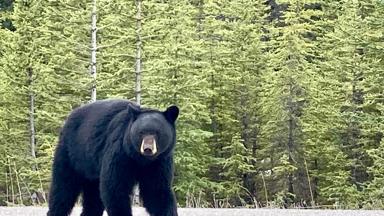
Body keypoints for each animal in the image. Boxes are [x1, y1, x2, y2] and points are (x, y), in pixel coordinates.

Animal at [47, 99, 179, 216]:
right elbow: (114, 188)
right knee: (63, 188)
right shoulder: (120, 153)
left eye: (157, 133)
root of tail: (70, 116)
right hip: (72, 153)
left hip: (91, 169)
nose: (147, 149)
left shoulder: (159, 161)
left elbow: (156, 191)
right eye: (141, 132)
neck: (141, 160)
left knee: (93, 197)